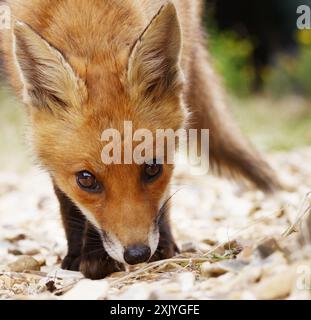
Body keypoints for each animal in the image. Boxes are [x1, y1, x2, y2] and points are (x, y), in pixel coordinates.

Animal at [0, 0, 282, 278]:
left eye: (153, 168)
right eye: (86, 180)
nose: (137, 254)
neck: (86, 16)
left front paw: (99, 257)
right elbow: (67, 200)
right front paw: (83, 254)